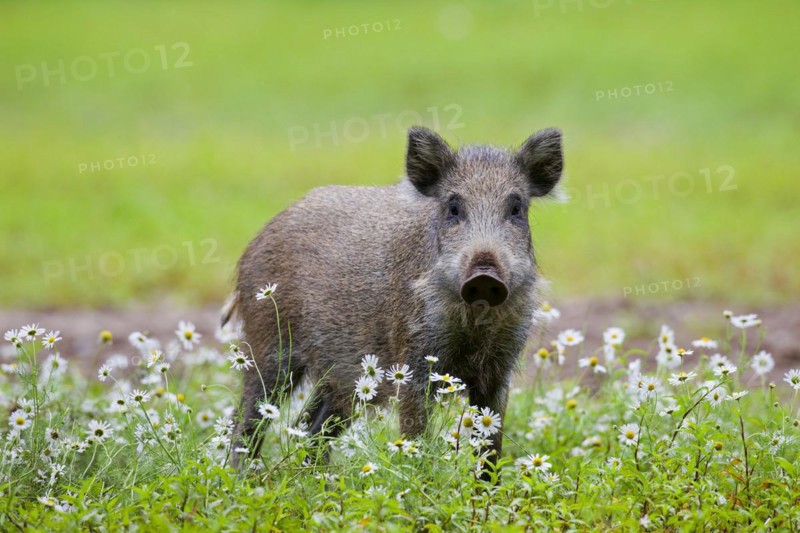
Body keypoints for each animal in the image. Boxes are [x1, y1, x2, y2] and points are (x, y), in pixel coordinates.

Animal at [225, 126, 564, 472]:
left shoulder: (500, 370)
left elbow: (490, 450)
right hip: (268, 344)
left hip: (344, 377)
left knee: (310, 428)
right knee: (247, 422)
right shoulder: (413, 361)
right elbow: (416, 438)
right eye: (453, 208)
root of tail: (258, 239)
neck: (474, 325)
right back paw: (243, 478)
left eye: (516, 208)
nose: (484, 276)